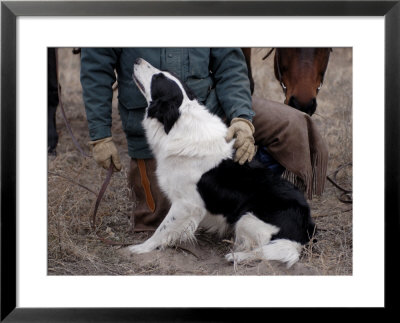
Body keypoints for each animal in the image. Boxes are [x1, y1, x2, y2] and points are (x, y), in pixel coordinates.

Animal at [129, 57, 316, 268]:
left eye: (156, 78)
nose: (137, 59)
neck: (179, 122)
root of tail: (305, 227)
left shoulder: (186, 204)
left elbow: (162, 229)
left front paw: (142, 247)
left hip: (247, 217)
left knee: (268, 250)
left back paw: (237, 256)